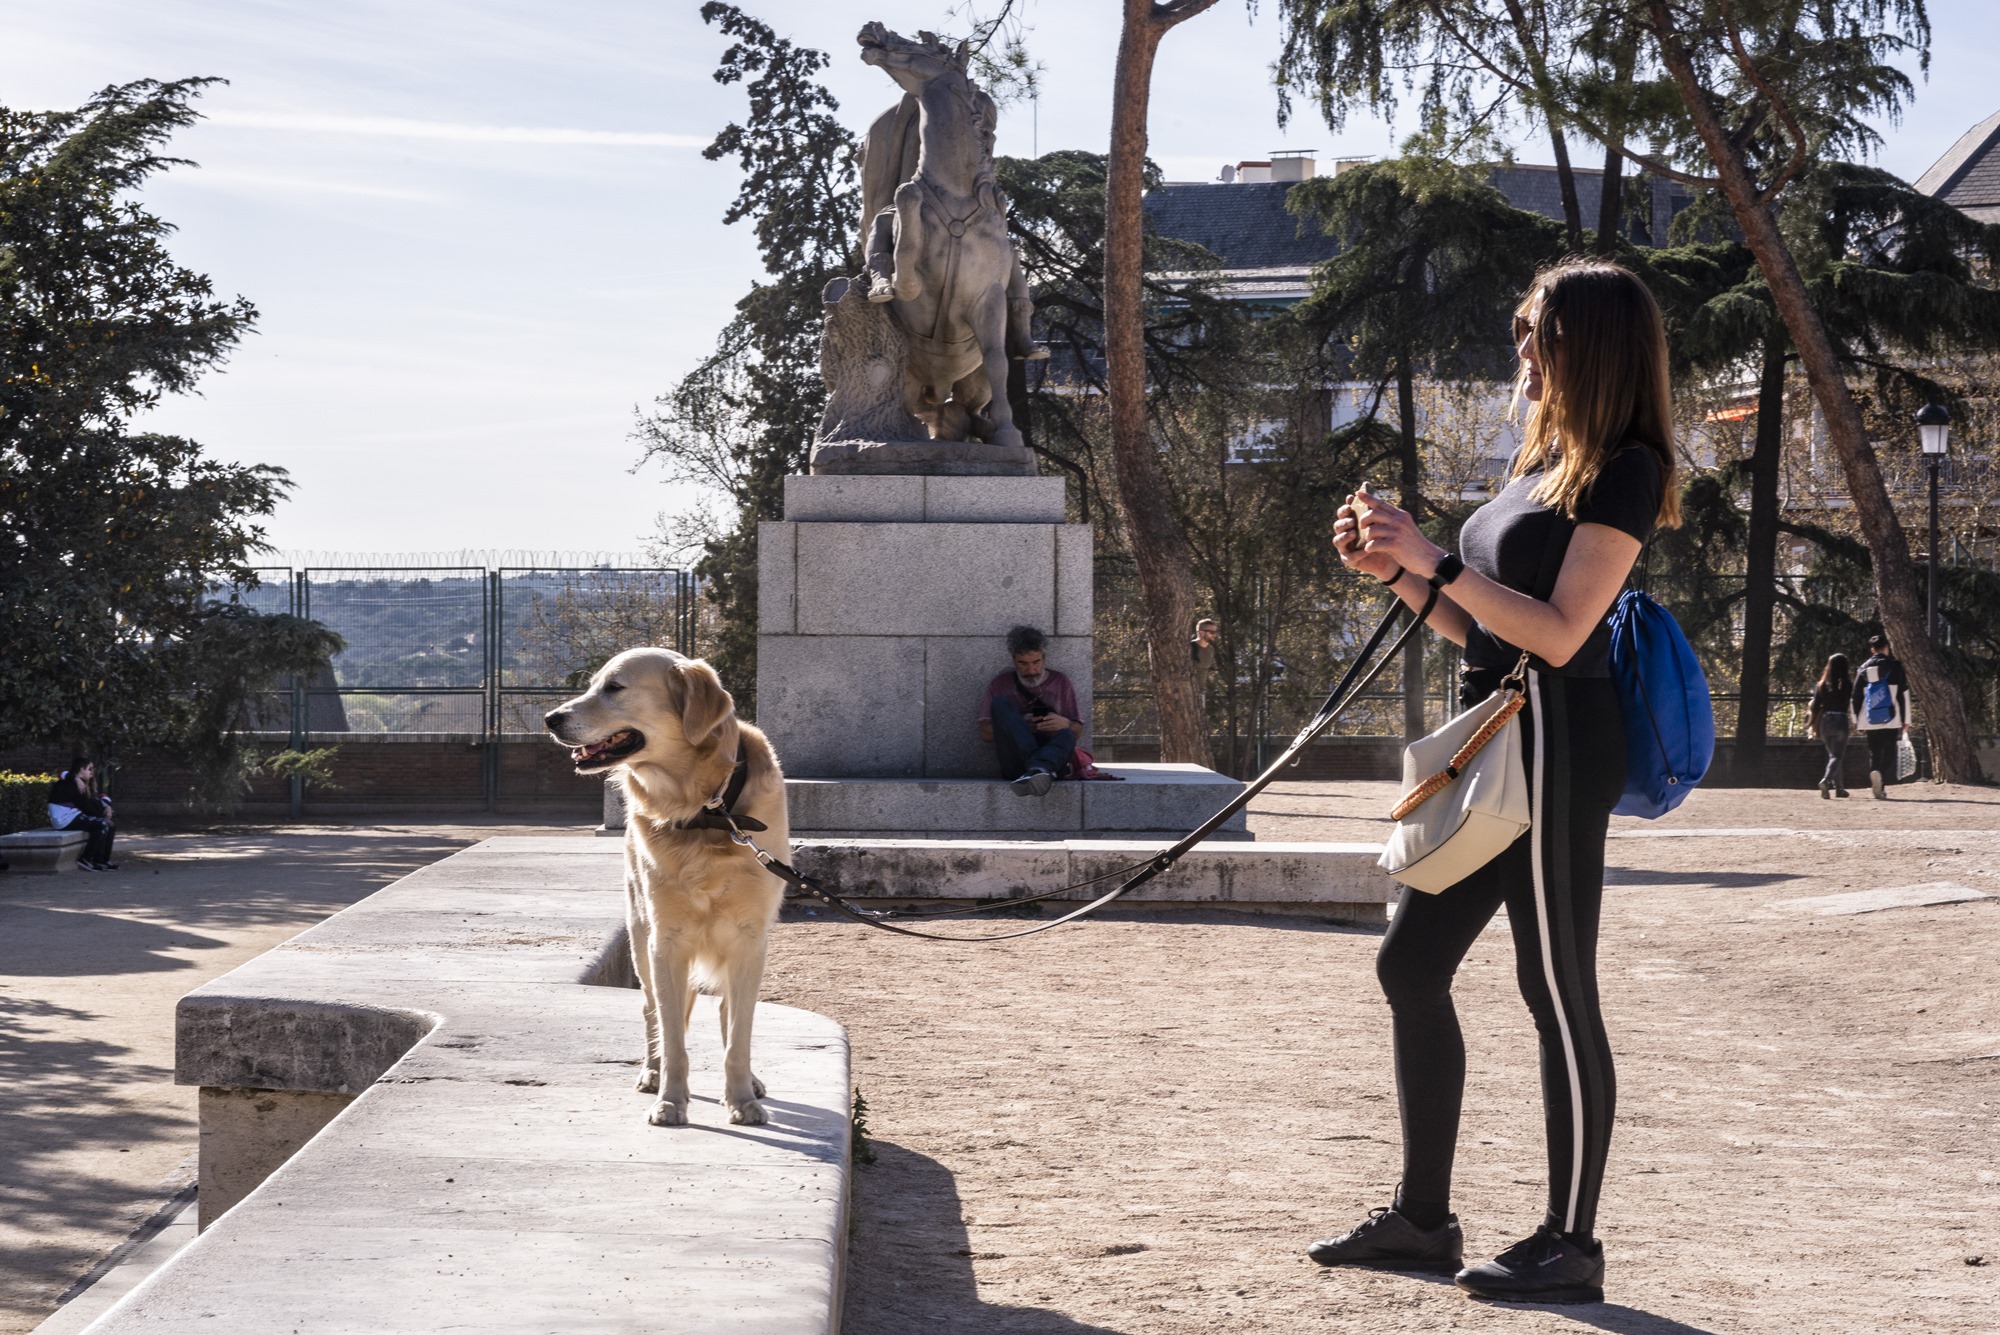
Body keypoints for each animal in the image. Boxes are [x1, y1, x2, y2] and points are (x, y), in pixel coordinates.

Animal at [552, 647, 800, 1127]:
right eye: (592, 685)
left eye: (614, 687)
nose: (550, 718)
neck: (707, 810)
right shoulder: (666, 941)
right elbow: (672, 1037)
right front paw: (670, 1100)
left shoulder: (749, 939)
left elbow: (738, 1033)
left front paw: (742, 1099)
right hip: (640, 938)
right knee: (653, 1012)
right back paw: (652, 1072)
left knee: (726, 1012)